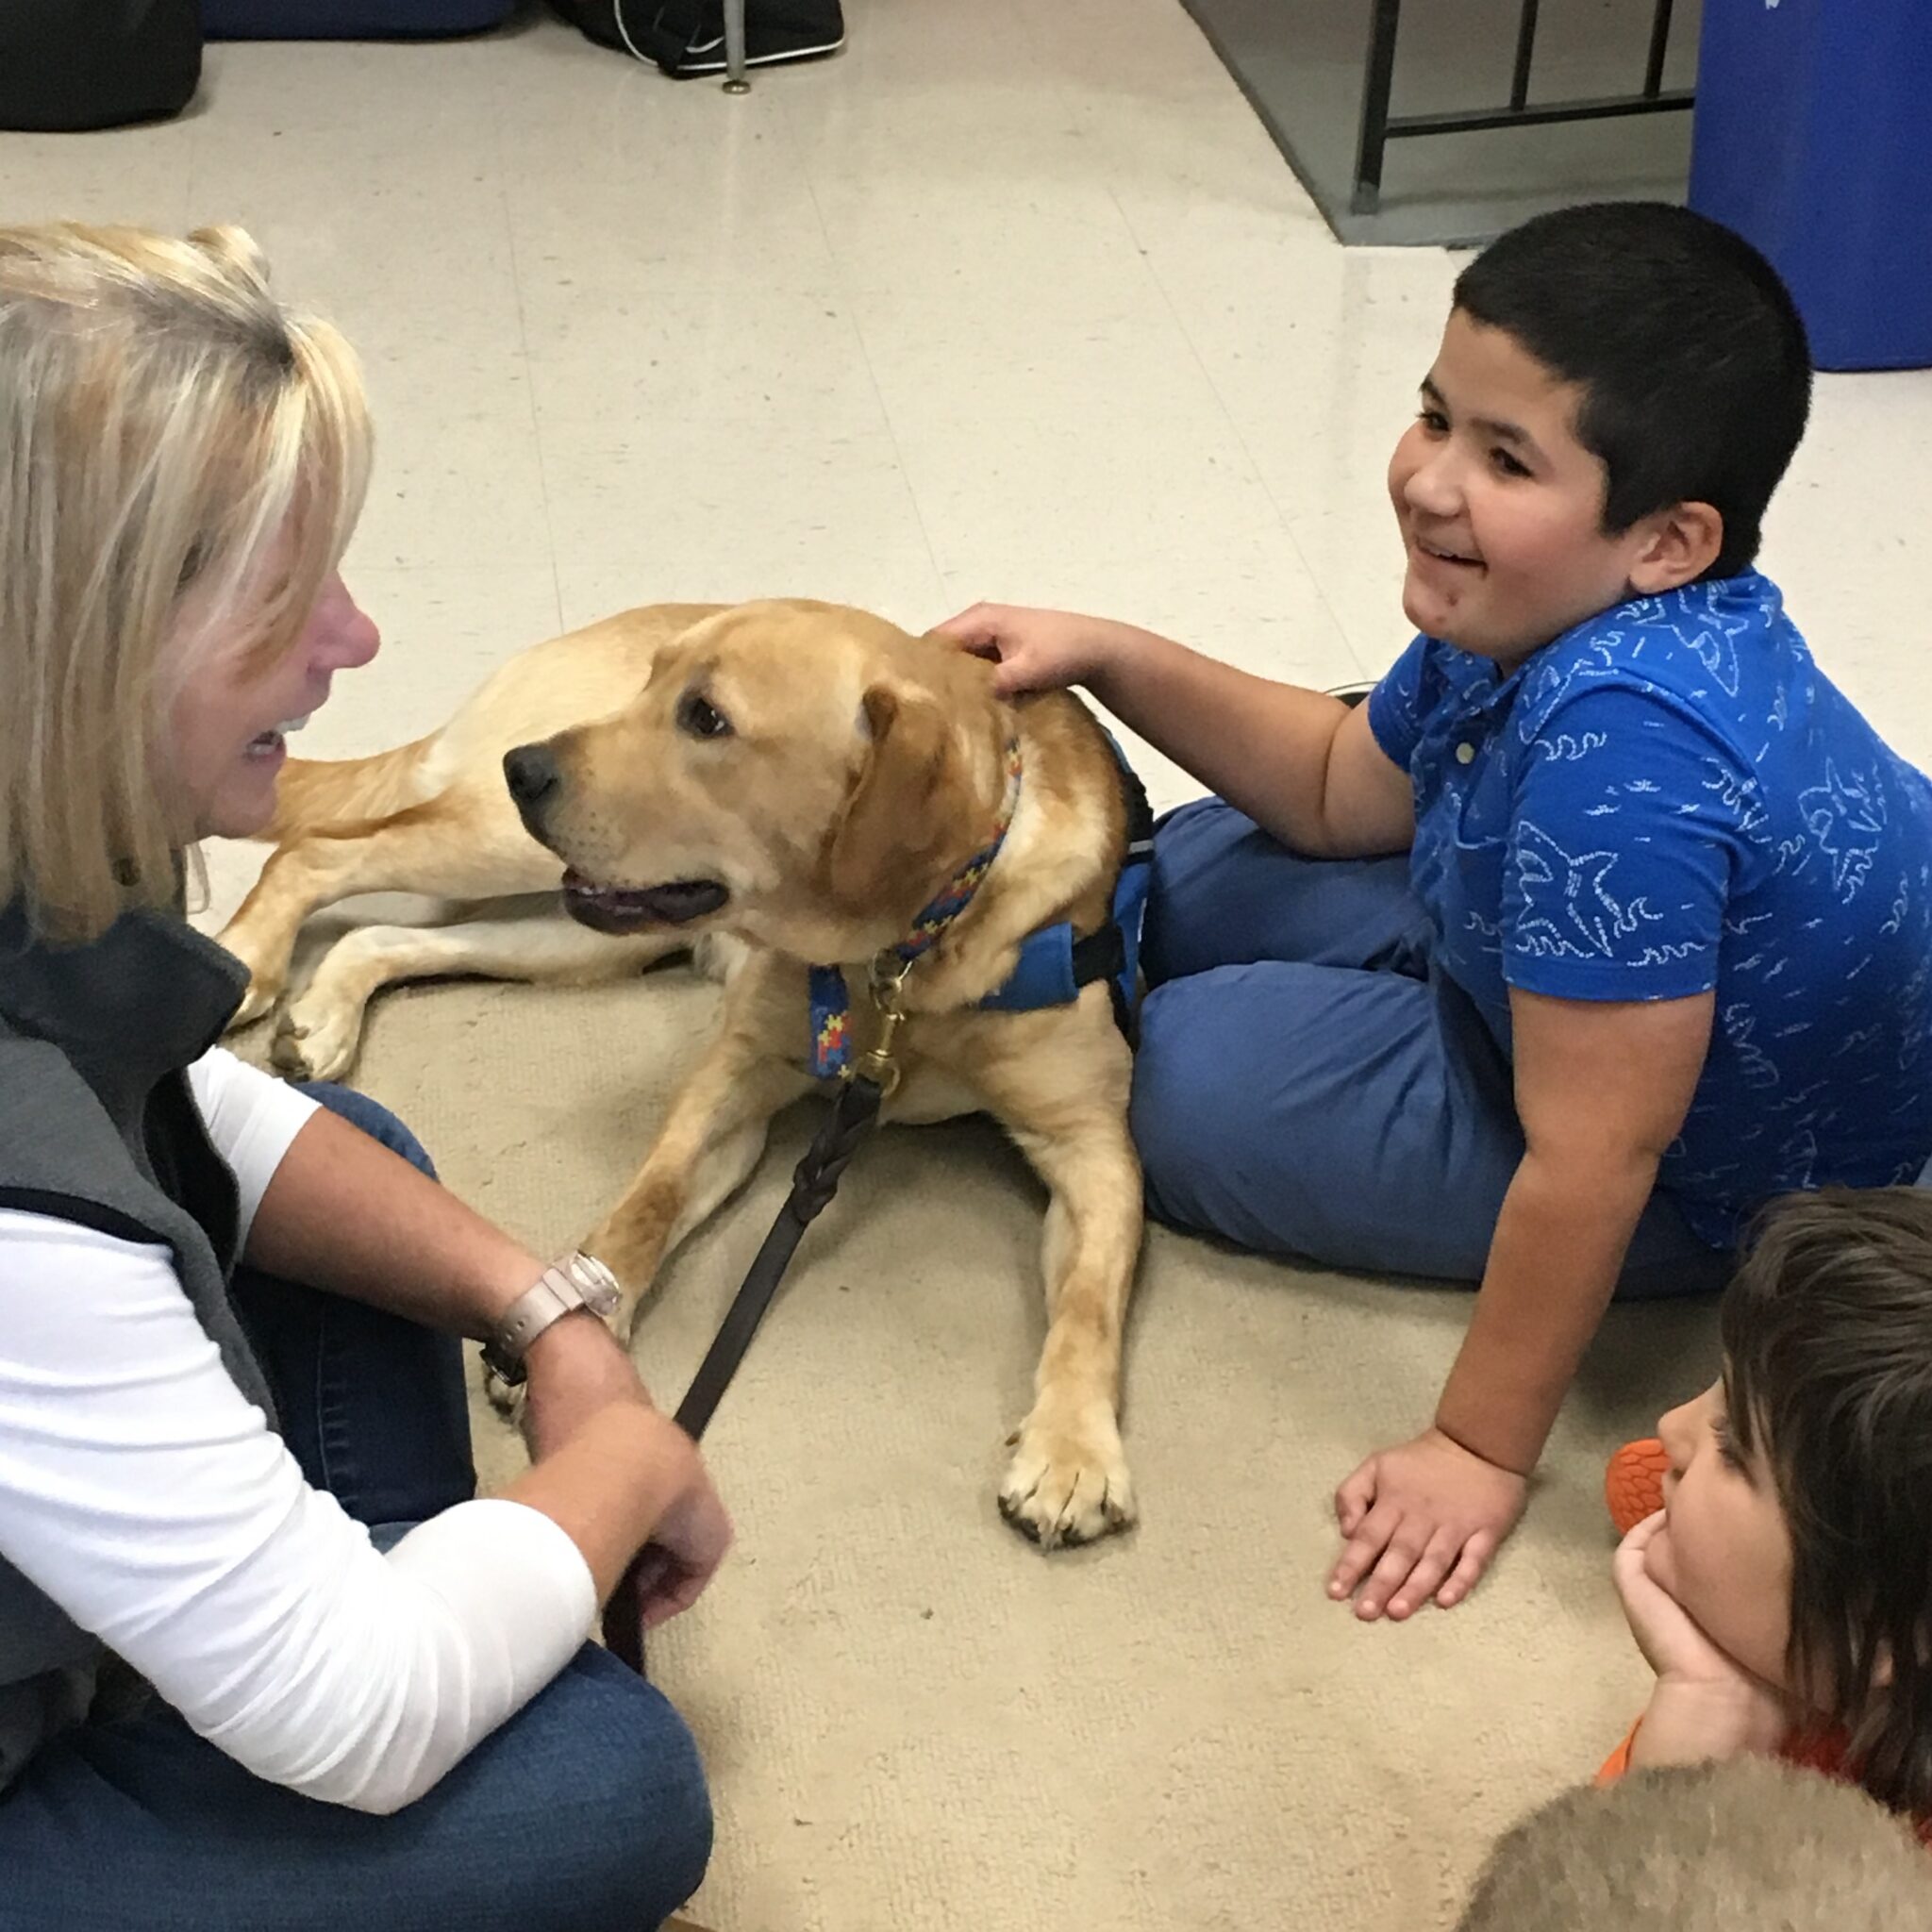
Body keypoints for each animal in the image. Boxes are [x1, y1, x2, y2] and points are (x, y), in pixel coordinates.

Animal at [221, 594, 1136, 1545]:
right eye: (657, 683)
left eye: (707, 719)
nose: (526, 768)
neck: (903, 963)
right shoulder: (736, 1075)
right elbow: (650, 1200)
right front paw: (589, 1310)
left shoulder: (1093, 1144)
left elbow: (1090, 1301)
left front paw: (1072, 1451)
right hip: (506, 848)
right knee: (317, 850)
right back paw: (249, 958)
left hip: (582, 931)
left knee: (382, 931)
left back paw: (326, 1009)